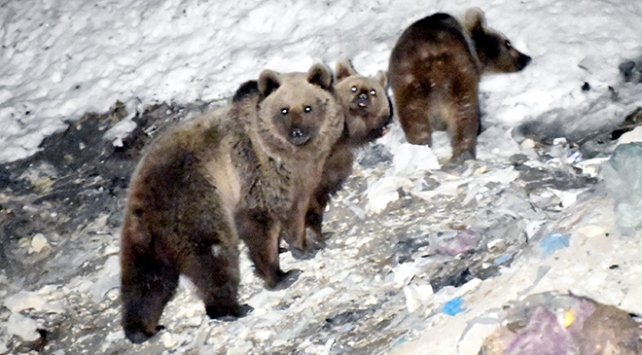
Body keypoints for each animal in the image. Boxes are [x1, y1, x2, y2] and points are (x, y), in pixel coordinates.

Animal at [117, 64, 342, 344]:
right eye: (284, 109)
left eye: (308, 107)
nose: (297, 133)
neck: (288, 157)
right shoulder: (253, 170)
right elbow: (259, 221)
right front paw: (279, 273)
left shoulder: (301, 179)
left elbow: (296, 210)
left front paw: (305, 244)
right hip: (195, 202)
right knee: (214, 254)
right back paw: (230, 308)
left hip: (143, 236)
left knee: (146, 278)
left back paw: (141, 328)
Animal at [384, 7, 528, 164]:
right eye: (507, 43)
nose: (526, 58)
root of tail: (433, 61)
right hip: (457, 77)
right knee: (464, 115)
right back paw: (464, 152)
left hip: (410, 86)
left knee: (415, 122)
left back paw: (418, 150)